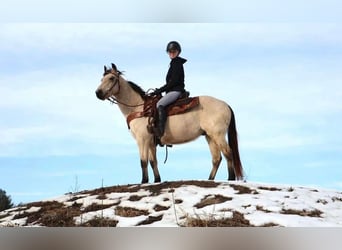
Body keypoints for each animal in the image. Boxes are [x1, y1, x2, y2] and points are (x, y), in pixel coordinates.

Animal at [95, 63, 242, 183]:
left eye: (111, 78)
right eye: (102, 79)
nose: (98, 93)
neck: (138, 108)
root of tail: (226, 105)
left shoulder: (142, 140)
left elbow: (143, 162)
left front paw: (144, 181)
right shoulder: (150, 141)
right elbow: (153, 161)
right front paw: (157, 180)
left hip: (218, 135)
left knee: (228, 153)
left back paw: (230, 179)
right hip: (209, 136)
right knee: (216, 158)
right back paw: (210, 179)